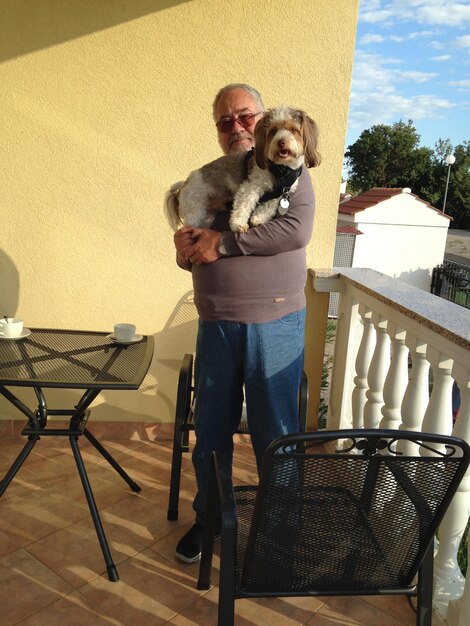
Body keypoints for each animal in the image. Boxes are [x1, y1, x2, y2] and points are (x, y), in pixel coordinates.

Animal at [164, 106, 320, 233]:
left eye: (294, 130)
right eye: (273, 131)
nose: (281, 142)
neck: (281, 169)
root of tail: (184, 184)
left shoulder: (279, 195)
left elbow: (267, 207)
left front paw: (258, 219)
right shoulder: (251, 186)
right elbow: (243, 206)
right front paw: (238, 224)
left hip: (207, 215)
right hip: (195, 209)